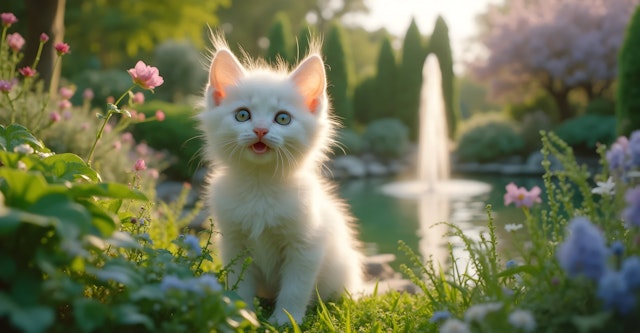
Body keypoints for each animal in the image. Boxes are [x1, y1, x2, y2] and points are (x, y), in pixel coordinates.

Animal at [198, 37, 362, 324]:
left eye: (282, 118)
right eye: (243, 115)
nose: (260, 130)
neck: (260, 186)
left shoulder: (306, 245)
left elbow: (295, 288)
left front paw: (285, 319)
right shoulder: (233, 241)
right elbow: (239, 284)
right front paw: (241, 315)